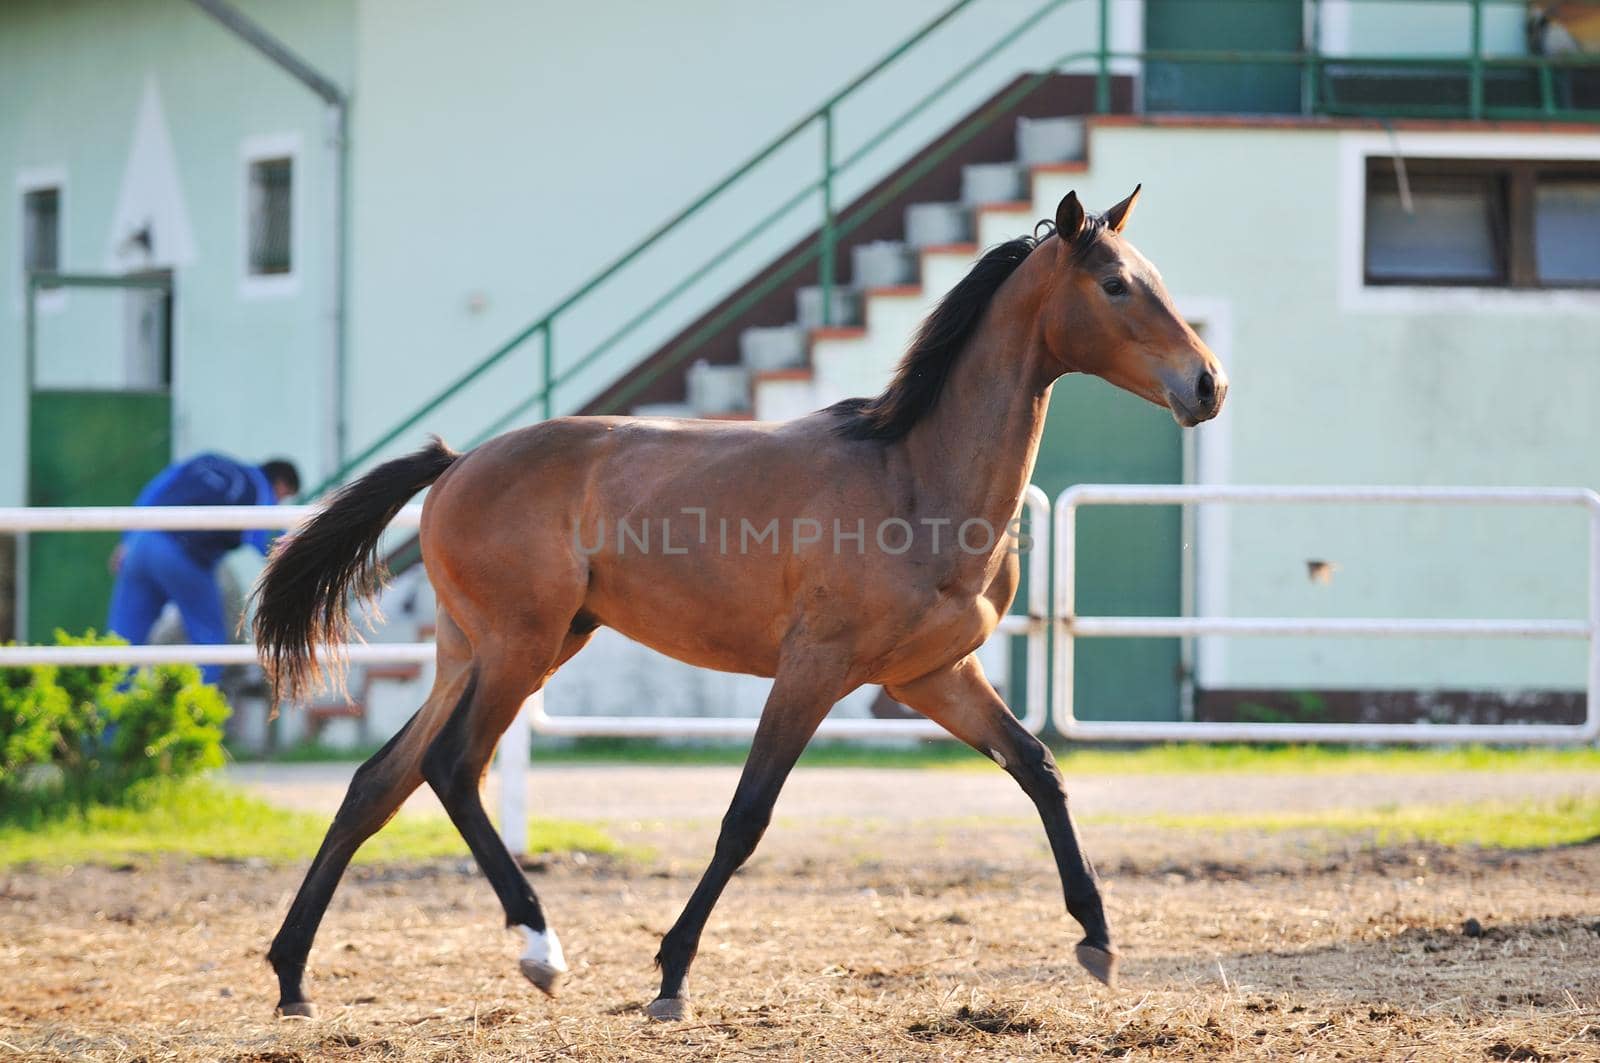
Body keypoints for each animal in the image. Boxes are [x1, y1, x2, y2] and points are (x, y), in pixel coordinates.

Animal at [252, 188, 1222, 1024]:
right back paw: (540, 949)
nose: (1208, 383)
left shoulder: (934, 676)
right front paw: (671, 974)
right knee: (453, 767)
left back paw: (294, 978)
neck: (915, 476)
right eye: (1115, 284)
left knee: (378, 782)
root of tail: (455, 462)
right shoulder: (815, 669)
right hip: (519, 648)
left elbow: (1039, 768)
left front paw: (1098, 938)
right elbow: (745, 816)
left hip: (483, 650)